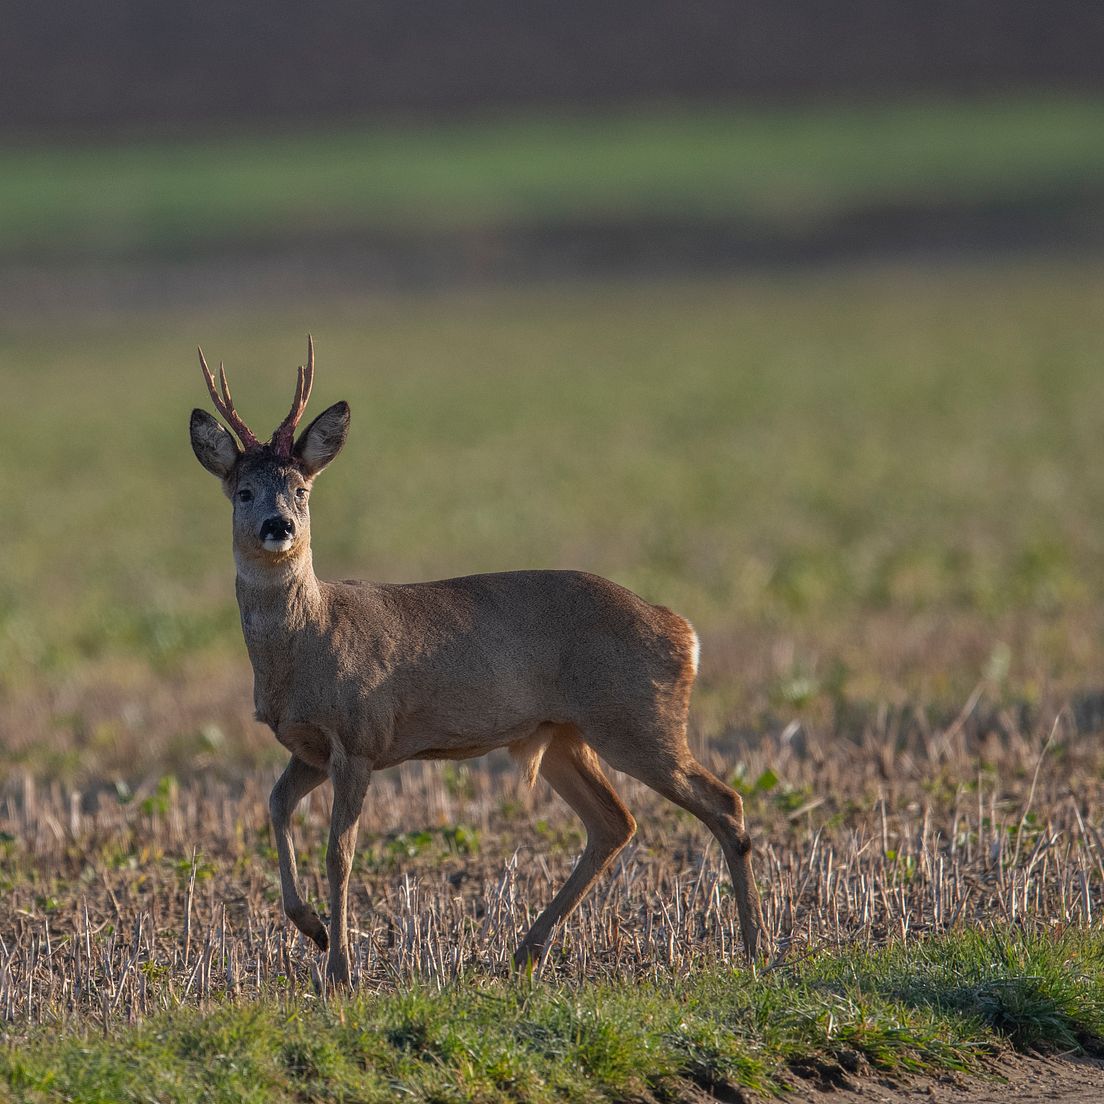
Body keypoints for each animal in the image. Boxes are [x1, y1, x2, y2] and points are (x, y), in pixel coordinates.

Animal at [189, 335, 768, 984]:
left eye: (302, 490)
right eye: (243, 491)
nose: (278, 525)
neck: (308, 643)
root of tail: (684, 631)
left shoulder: (360, 735)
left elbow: (340, 852)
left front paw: (339, 968)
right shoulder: (310, 747)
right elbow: (274, 806)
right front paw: (311, 929)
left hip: (637, 720)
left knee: (723, 802)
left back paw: (756, 947)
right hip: (563, 734)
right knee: (615, 822)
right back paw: (526, 949)